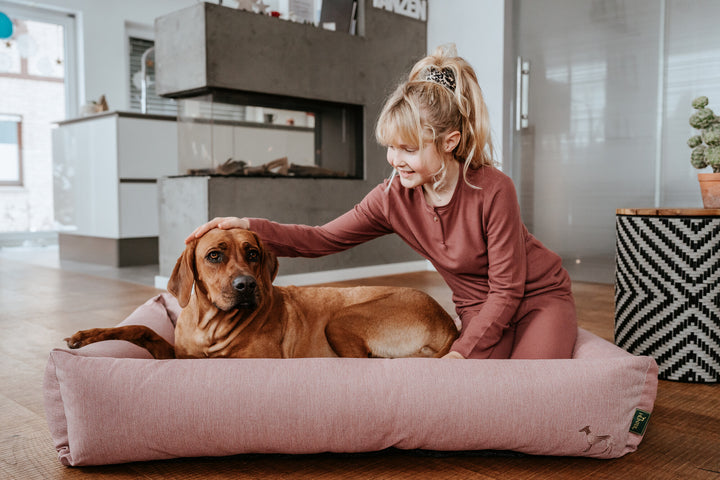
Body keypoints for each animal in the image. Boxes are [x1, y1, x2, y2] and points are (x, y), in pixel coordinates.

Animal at [66, 227, 456, 358]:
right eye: (214, 255)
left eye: (252, 253)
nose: (246, 285)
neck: (211, 324)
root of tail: (448, 324)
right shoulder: (178, 353)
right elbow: (141, 328)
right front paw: (85, 336)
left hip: (342, 319)